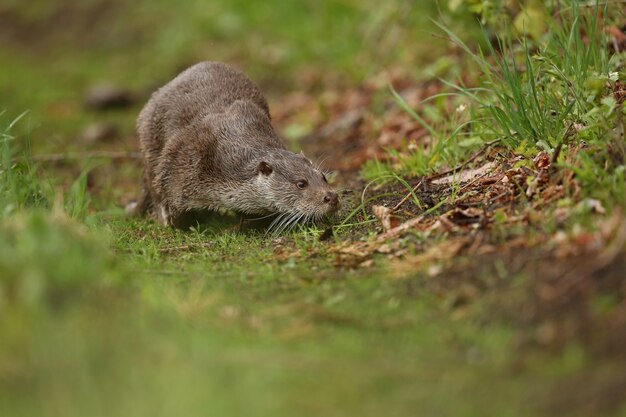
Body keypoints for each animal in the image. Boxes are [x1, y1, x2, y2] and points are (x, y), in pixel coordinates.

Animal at [129, 62, 338, 228]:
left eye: (323, 177)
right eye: (301, 183)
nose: (332, 197)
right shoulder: (181, 157)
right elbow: (165, 193)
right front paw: (173, 223)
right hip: (149, 139)